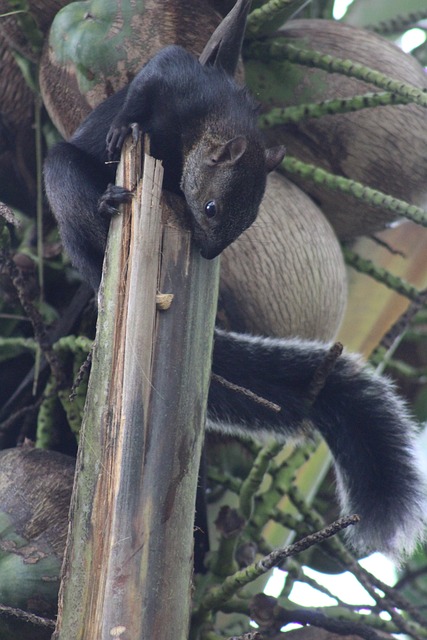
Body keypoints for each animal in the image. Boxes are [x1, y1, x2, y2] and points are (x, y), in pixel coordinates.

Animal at [44, 1, 427, 560]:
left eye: (248, 223)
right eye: (210, 208)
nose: (207, 253)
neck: (212, 118)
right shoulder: (173, 73)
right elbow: (142, 89)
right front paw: (120, 126)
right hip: (68, 198)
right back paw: (106, 204)